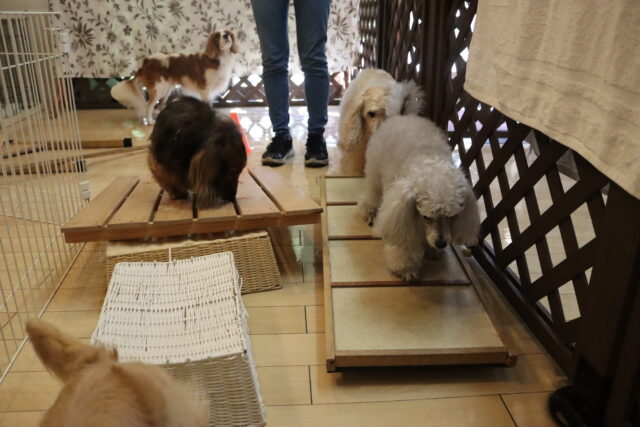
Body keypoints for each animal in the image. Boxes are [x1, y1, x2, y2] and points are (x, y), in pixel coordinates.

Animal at [358, 115, 481, 282]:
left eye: (452, 217)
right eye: (426, 217)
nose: (441, 243)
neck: (429, 163)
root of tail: (403, 116)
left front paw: (432, 250)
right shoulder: (403, 217)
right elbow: (405, 245)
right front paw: (406, 269)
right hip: (375, 173)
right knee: (372, 193)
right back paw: (368, 211)